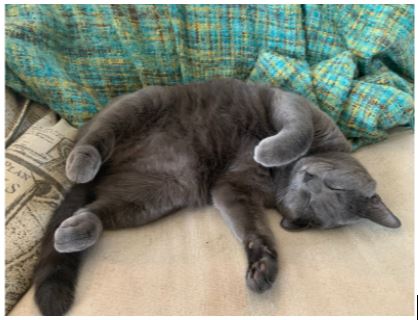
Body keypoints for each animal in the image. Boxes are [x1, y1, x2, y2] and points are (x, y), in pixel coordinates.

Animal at [31, 79, 398, 316]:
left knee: (96, 210)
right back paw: (82, 164)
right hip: (140, 104)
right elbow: (297, 132)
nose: (307, 177)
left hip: (157, 194)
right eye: (334, 186)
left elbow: (253, 229)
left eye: (317, 198)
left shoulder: (231, 189)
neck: (279, 178)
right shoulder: (293, 105)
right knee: (95, 138)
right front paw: (268, 150)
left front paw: (263, 266)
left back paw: (75, 231)